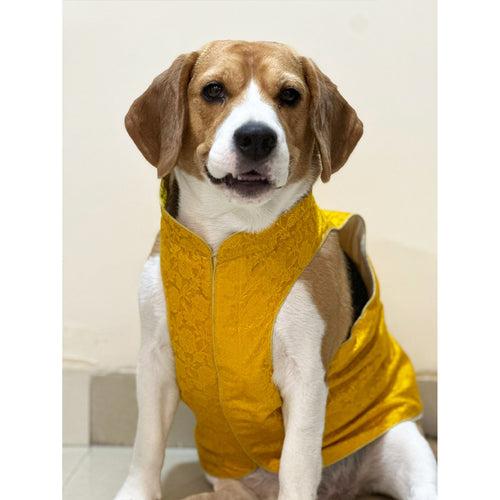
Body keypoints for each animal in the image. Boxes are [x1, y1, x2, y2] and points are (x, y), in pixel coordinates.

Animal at [115, 41, 436, 498]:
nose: (256, 137)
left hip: (405, 447)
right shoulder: (156, 360)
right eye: (213, 90)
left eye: (290, 95)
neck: (226, 243)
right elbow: (147, 444)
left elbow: (297, 465)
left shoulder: (305, 376)